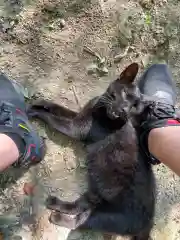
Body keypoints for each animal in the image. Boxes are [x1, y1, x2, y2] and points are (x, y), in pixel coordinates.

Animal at [27, 63, 155, 240]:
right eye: (125, 93)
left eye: (135, 106)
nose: (124, 109)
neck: (100, 108)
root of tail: (149, 222)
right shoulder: (79, 116)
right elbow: (59, 108)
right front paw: (40, 103)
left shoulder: (76, 128)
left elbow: (53, 119)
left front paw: (35, 112)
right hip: (94, 192)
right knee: (79, 206)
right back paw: (54, 203)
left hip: (106, 217)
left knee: (79, 221)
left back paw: (56, 217)